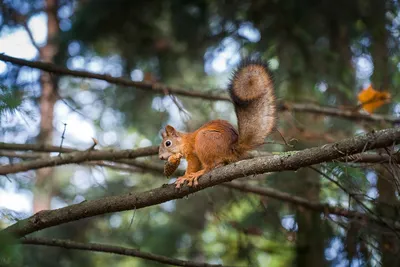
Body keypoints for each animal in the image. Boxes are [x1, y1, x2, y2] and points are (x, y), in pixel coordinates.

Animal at [159, 59, 276, 188]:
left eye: (168, 143)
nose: (160, 157)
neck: (184, 141)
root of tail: (232, 149)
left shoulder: (192, 154)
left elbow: (193, 166)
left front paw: (185, 177)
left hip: (204, 140)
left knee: (209, 167)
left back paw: (200, 173)